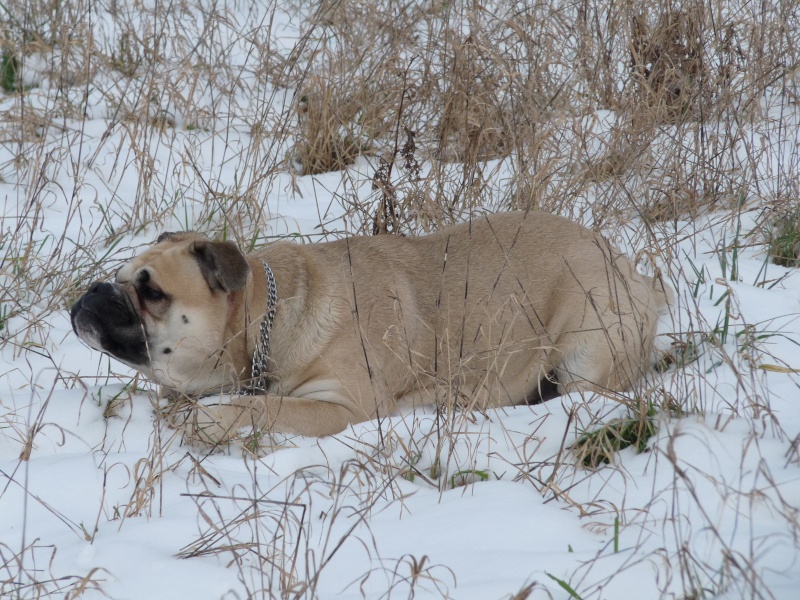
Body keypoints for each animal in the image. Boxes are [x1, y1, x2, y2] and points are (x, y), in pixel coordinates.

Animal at [70, 210, 668, 440]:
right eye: (119, 277)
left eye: (151, 292)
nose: (94, 291)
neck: (266, 320)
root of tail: (633, 271)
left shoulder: (341, 406)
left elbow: (259, 406)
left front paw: (210, 420)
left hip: (587, 352)